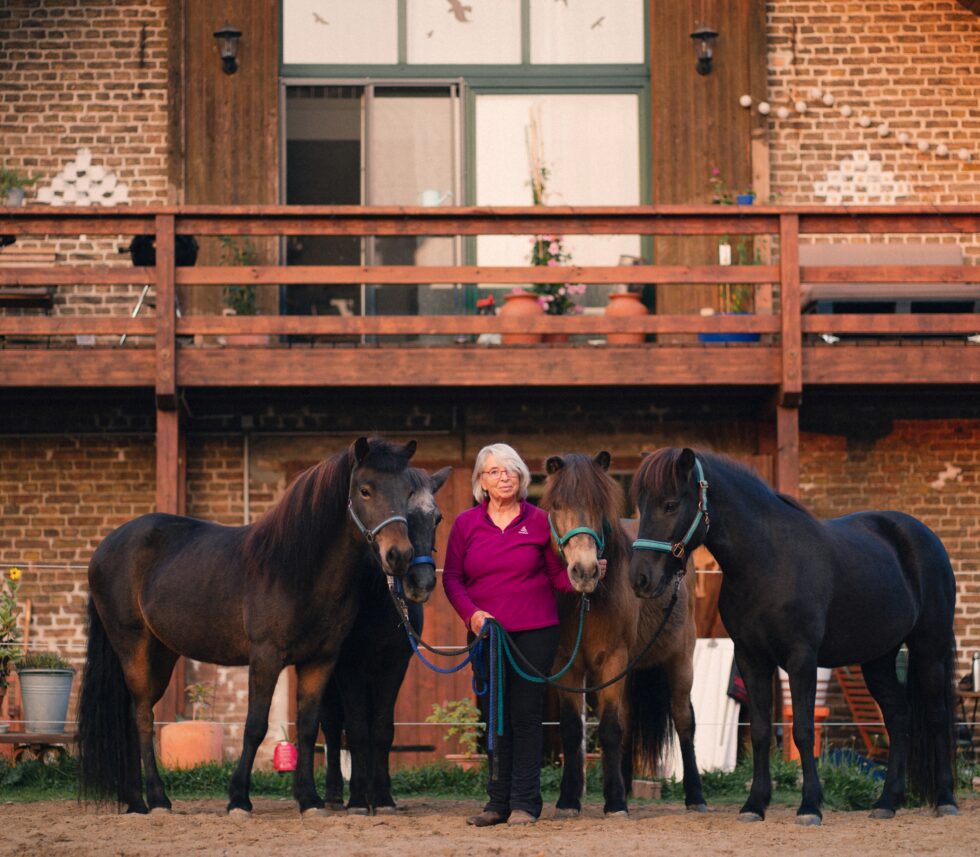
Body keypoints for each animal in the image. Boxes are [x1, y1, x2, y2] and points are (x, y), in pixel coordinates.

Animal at [79, 438, 418, 812]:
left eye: (408, 491)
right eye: (365, 490)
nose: (399, 556)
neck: (295, 569)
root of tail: (104, 548)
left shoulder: (320, 660)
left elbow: (308, 727)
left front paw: (309, 799)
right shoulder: (266, 657)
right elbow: (255, 726)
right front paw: (239, 798)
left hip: (162, 653)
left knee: (132, 714)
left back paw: (134, 799)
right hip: (133, 647)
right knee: (141, 716)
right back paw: (156, 799)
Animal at [322, 464, 452, 812]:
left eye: (437, 518)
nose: (420, 582)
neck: (376, 601)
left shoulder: (394, 665)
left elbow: (380, 729)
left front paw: (381, 797)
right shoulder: (349, 668)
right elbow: (355, 729)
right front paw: (357, 799)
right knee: (330, 727)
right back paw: (334, 796)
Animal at [544, 452, 704, 812]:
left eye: (600, 505)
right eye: (557, 505)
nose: (584, 571)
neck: (587, 602)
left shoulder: (613, 660)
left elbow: (610, 729)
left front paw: (615, 801)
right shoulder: (565, 664)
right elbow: (573, 730)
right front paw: (569, 799)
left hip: (681, 660)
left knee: (684, 721)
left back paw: (695, 796)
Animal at [628, 444, 956, 820]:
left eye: (670, 504)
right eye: (640, 505)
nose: (640, 579)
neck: (768, 560)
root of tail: (925, 537)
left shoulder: (802, 659)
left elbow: (802, 729)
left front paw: (810, 805)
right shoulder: (751, 658)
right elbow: (759, 731)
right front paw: (755, 804)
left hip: (929, 649)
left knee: (936, 716)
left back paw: (945, 799)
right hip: (879, 658)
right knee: (898, 717)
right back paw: (887, 802)